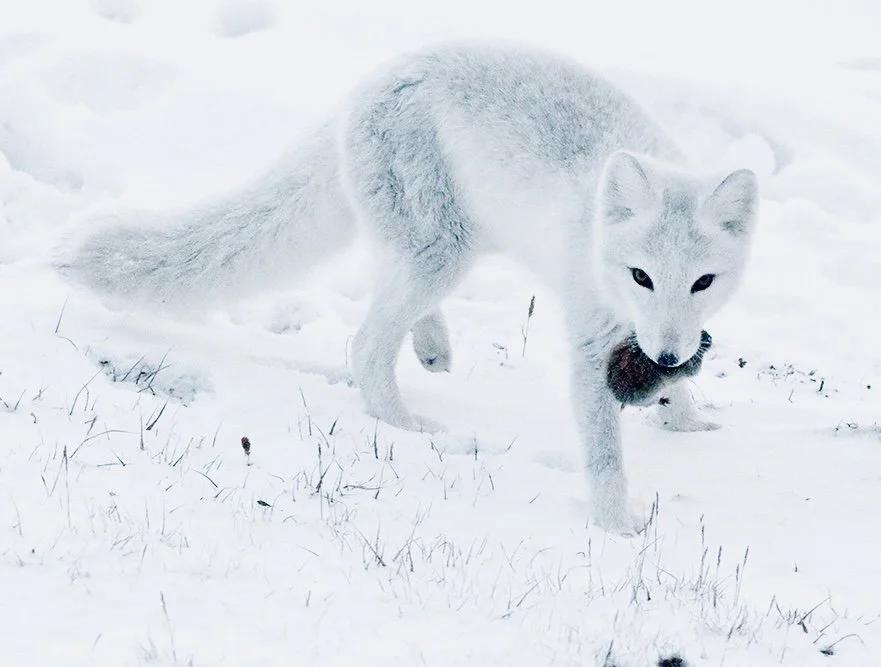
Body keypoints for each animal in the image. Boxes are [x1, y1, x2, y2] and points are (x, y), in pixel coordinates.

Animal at [63, 44, 758, 534]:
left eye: (702, 282)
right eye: (640, 276)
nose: (665, 354)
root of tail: (369, 82)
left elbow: (679, 389)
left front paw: (687, 423)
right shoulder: (594, 340)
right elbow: (606, 456)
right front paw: (618, 531)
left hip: (438, 249)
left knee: (391, 304)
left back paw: (432, 348)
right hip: (440, 252)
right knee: (366, 343)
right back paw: (401, 422)